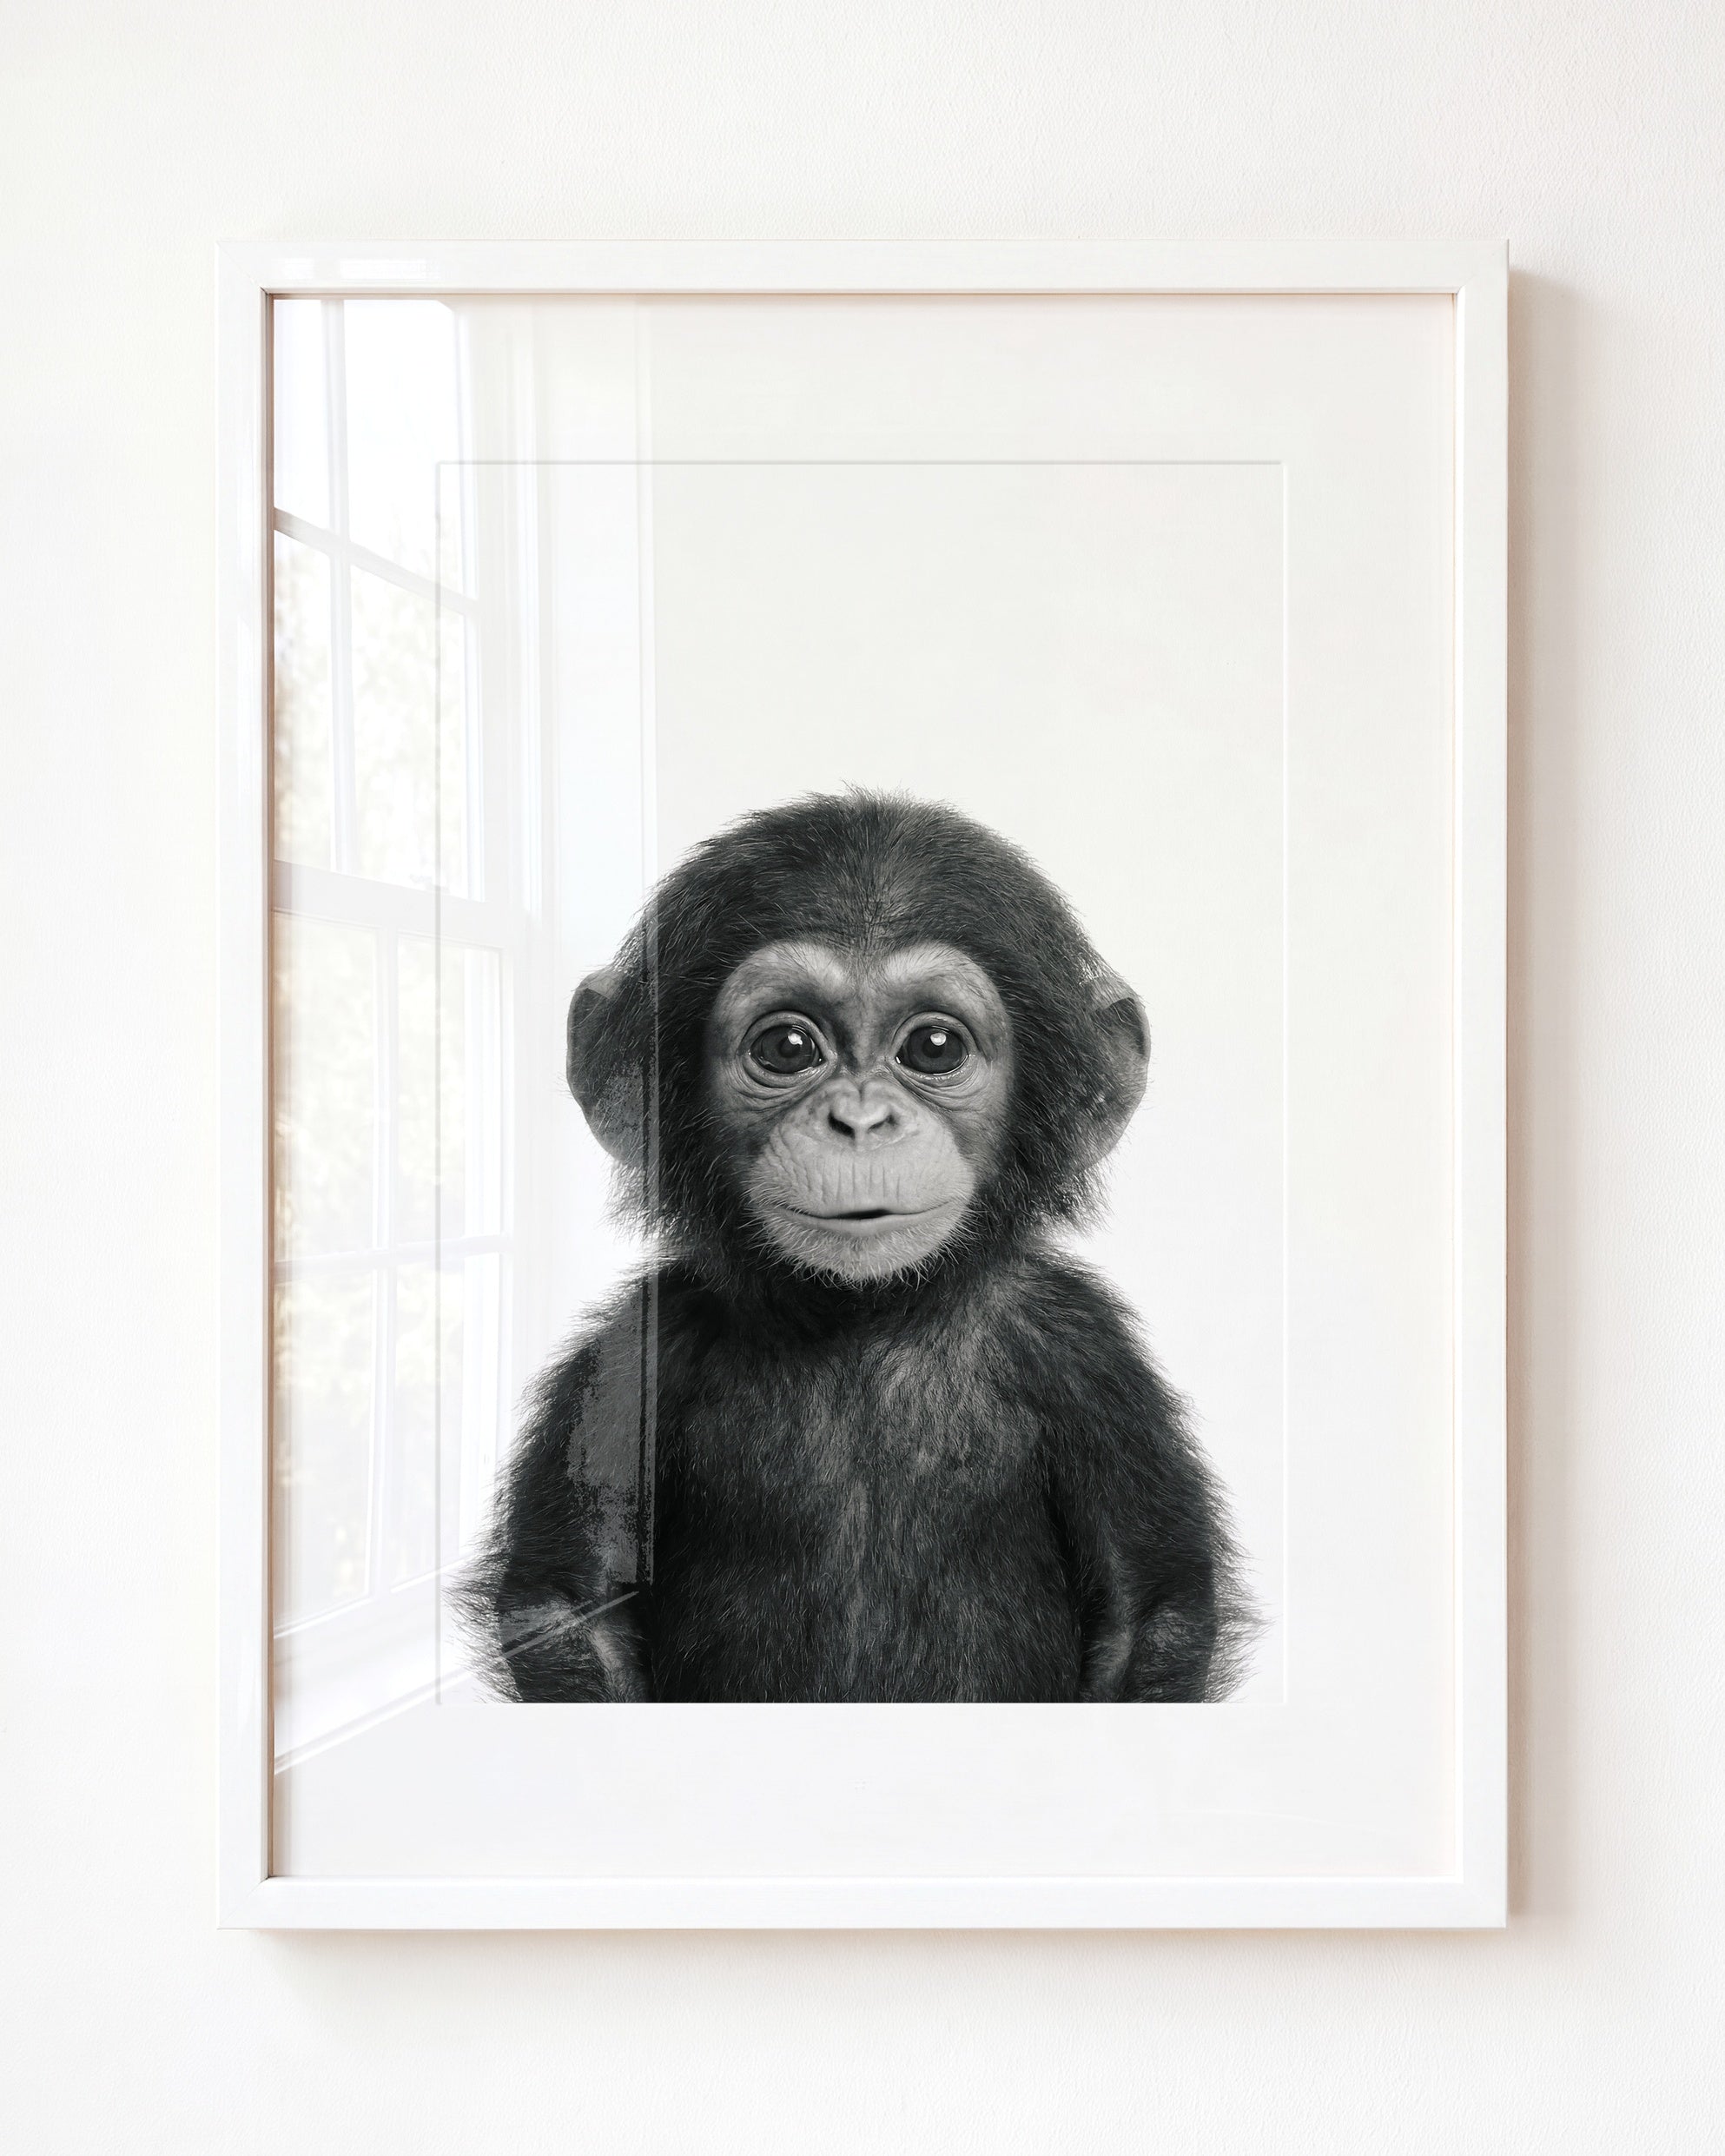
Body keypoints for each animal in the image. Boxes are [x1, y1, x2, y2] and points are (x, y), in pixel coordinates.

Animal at [458, 791, 1253, 1703]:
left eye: (934, 1048)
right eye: (786, 1048)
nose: (862, 1121)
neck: (865, 1316)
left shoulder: (1085, 1353)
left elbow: (1148, 1612)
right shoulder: (635, 1352)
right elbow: (570, 1608)